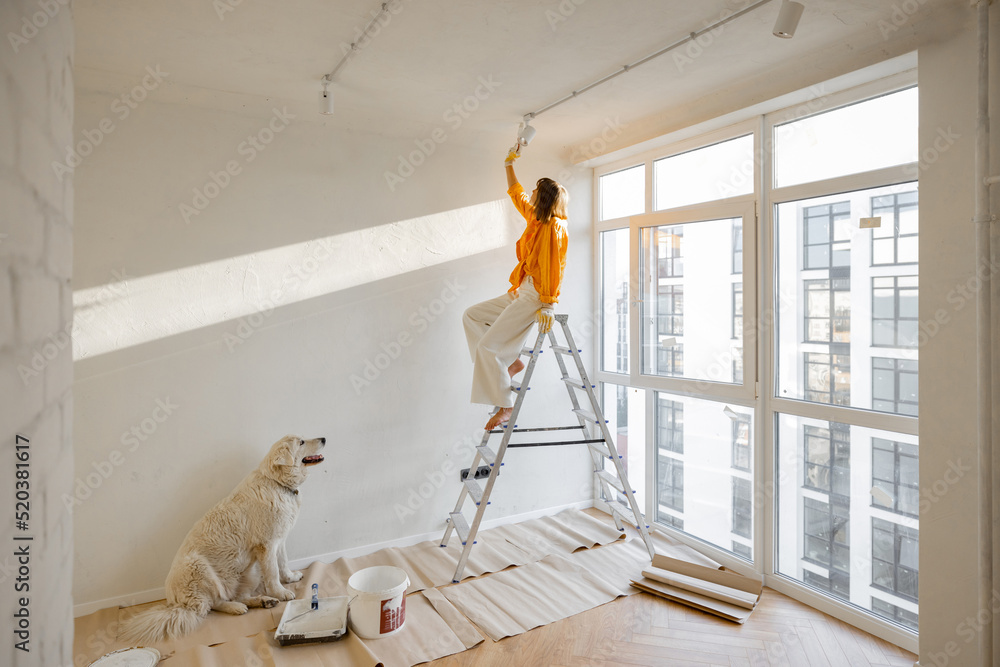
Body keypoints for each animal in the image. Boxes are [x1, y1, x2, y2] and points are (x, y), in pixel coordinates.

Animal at [119, 436, 326, 644]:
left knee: (236, 596)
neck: (276, 482)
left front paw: (290, 578)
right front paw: (281, 593)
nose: (324, 439)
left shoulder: (279, 541)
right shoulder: (266, 546)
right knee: (212, 604)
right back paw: (238, 607)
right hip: (199, 568)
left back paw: (262, 601)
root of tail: (174, 602)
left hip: (250, 571)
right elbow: (274, 573)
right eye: (301, 442)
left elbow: (283, 564)